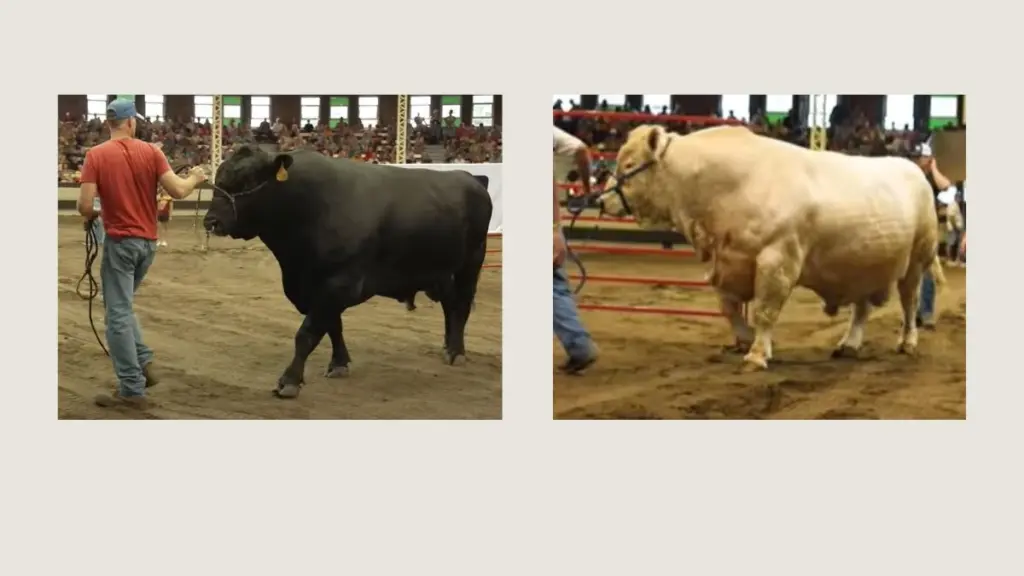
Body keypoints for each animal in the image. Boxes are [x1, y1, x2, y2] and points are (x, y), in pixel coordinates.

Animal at [203, 146, 493, 398]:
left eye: (247, 181)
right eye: (218, 179)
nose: (211, 221)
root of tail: (470, 178)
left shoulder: (338, 283)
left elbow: (307, 333)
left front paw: (289, 381)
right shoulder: (313, 286)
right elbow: (333, 326)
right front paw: (339, 363)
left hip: (471, 262)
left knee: (461, 305)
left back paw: (456, 352)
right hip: (440, 271)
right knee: (449, 305)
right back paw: (448, 346)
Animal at [598, 124, 945, 371]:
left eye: (629, 164)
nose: (601, 200)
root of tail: (915, 171)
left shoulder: (777, 260)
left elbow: (765, 310)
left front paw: (756, 355)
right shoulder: (728, 261)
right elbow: (729, 307)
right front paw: (744, 340)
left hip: (917, 261)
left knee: (910, 303)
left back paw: (908, 342)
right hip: (863, 264)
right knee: (862, 307)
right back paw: (849, 344)